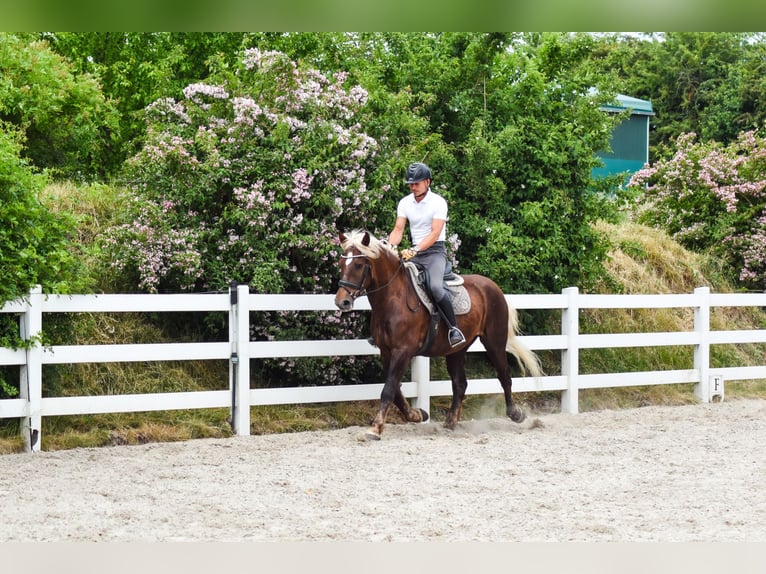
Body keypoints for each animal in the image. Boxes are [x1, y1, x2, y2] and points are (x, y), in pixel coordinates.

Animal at [334, 229, 543, 440]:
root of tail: (494, 287)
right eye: (342, 264)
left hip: (494, 343)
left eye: (359, 265)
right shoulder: (386, 351)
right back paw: (450, 421)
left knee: (504, 375)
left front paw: (375, 428)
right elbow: (396, 391)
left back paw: (515, 413)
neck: (394, 298)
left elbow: (389, 389)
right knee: (460, 384)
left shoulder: (403, 351)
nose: (341, 302)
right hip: (456, 350)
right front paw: (417, 414)